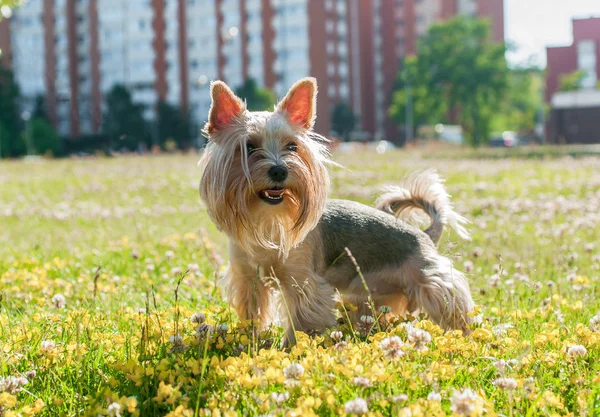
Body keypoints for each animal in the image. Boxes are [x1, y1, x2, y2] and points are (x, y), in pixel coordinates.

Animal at [199, 76, 476, 342]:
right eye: (249, 147)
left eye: (292, 146)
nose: (279, 170)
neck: (268, 220)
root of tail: (425, 235)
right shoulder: (248, 277)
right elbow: (253, 313)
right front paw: (251, 339)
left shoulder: (304, 281)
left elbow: (302, 321)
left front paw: (292, 347)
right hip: (373, 295)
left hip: (431, 280)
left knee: (453, 307)